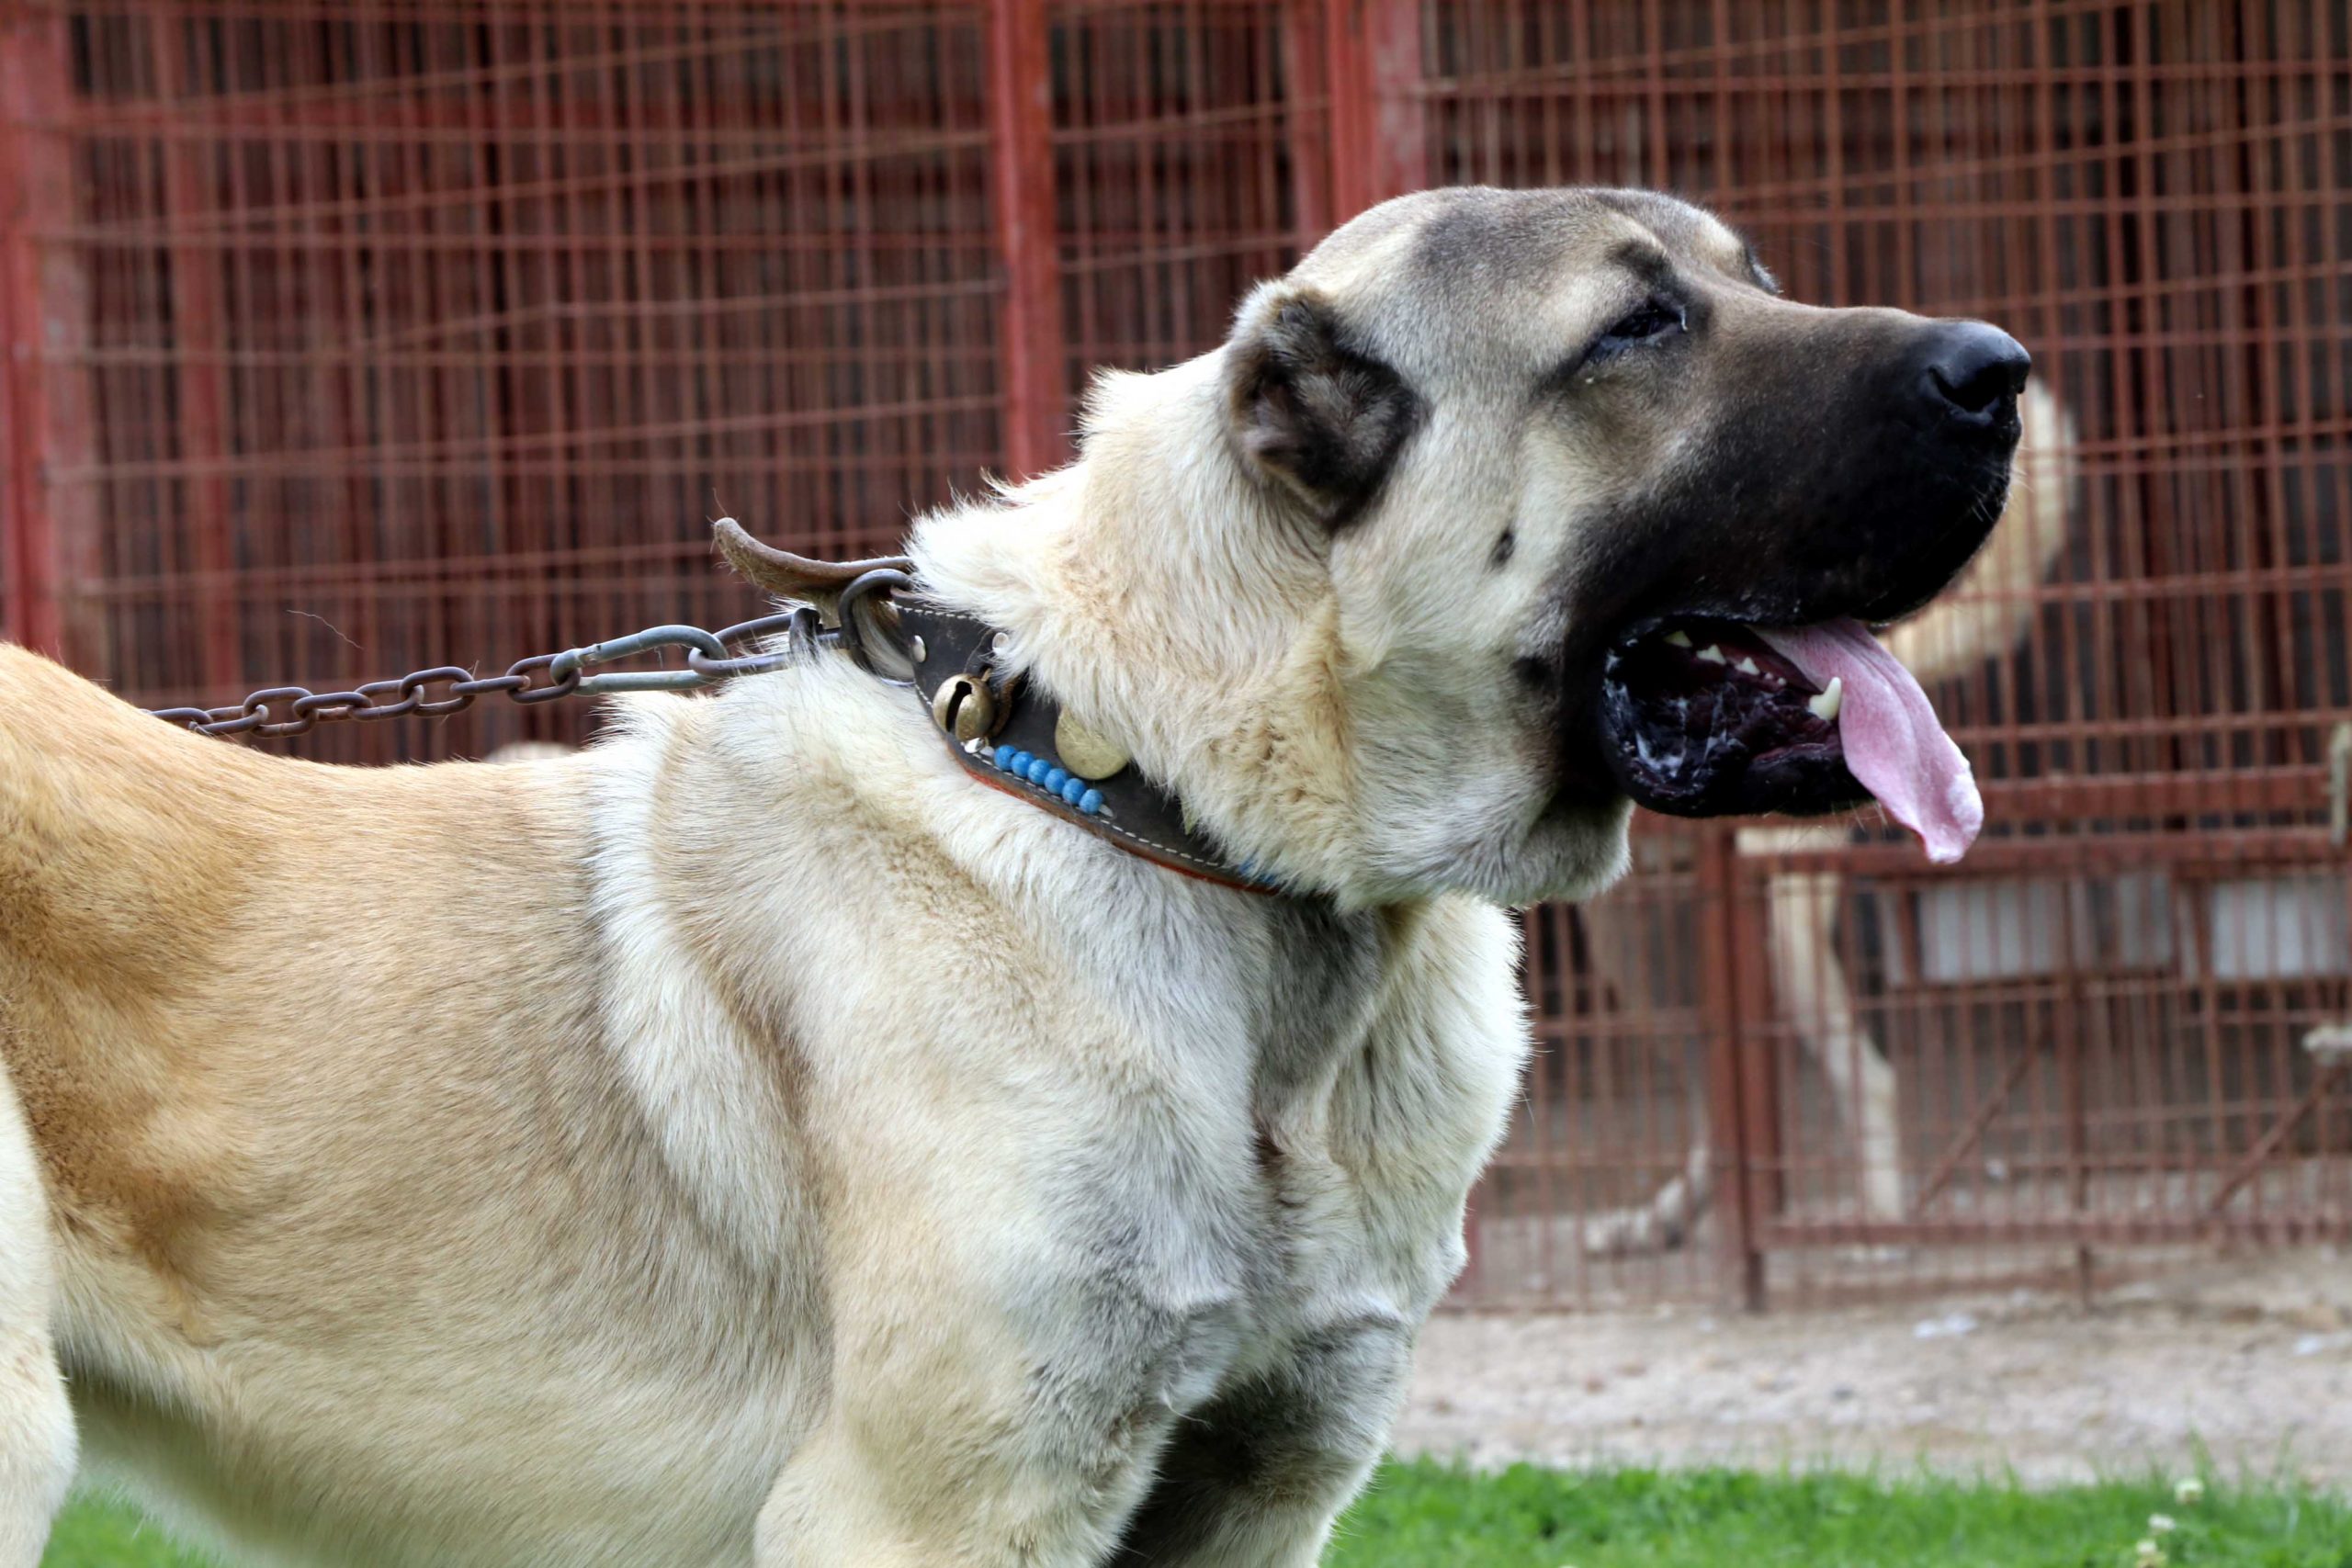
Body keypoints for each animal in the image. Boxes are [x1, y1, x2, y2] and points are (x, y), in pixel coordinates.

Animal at [0, 186, 2022, 1568]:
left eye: (1746, 279)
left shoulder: (1251, 1490)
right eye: (1633, 329)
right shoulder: (935, 1507)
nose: (2002, 372)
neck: (1174, 812)